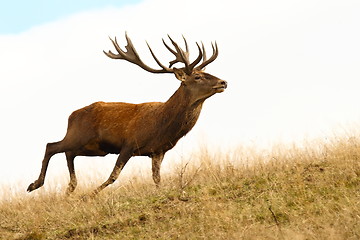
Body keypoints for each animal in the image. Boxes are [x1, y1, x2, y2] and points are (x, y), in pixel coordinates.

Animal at [26, 32, 226, 195]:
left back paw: (70, 188)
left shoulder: (158, 151)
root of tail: (71, 116)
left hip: (94, 148)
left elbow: (157, 178)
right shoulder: (129, 143)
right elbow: (114, 175)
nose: (223, 82)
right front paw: (89, 195)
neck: (162, 126)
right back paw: (35, 185)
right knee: (51, 146)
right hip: (79, 136)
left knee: (68, 153)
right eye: (197, 77)